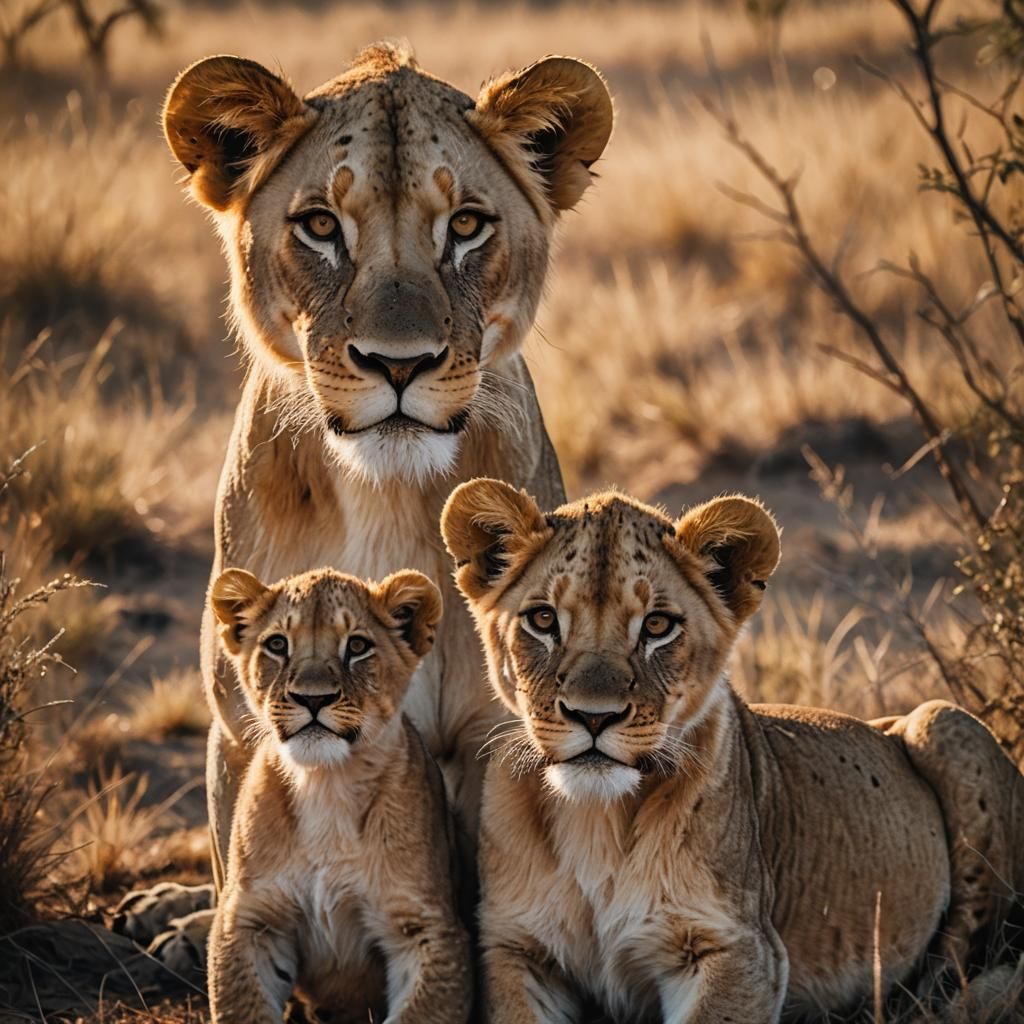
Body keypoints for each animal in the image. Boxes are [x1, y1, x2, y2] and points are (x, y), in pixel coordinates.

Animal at [117, 42, 613, 963]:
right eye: (320, 226)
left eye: (466, 226)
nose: (399, 363)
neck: (383, 490)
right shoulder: (240, 724)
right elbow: (246, 861)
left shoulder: (497, 737)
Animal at [204, 564, 470, 1023]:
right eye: (277, 644)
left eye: (357, 646)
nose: (313, 699)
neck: (324, 783)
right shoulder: (251, 919)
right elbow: (245, 1009)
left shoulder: (426, 928)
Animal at [440, 479, 1024, 1023]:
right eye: (543, 620)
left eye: (657, 626)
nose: (594, 716)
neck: (597, 819)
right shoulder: (514, 948)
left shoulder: (740, 947)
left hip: (942, 720)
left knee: (960, 962)